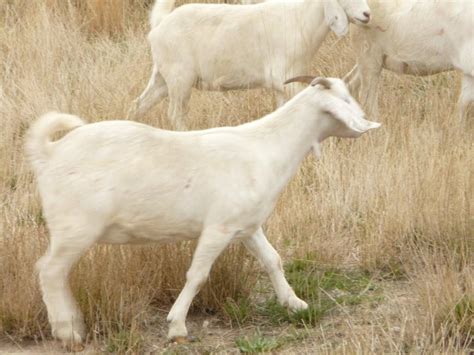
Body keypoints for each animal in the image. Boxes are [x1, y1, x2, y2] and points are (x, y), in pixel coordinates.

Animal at [27, 76, 380, 350]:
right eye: (344, 99)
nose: (367, 121)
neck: (265, 146)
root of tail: (49, 152)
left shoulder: (247, 226)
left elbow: (273, 260)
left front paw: (295, 304)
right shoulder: (218, 228)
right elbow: (197, 275)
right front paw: (176, 326)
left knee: (55, 273)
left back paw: (72, 324)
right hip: (76, 228)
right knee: (50, 271)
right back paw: (68, 332)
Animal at [129, 0, 370, 130]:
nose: (367, 14)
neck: (300, 20)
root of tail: (160, 24)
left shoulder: (282, 85)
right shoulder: (289, 81)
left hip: (162, 79)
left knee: (138, 104)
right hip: (180, 80)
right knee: (175, 114)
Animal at [344, 0, 474, 119]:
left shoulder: (468, 73)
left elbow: (463, 104)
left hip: (371, 60)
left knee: (349, 82)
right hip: (369, 57)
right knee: (367, 98)